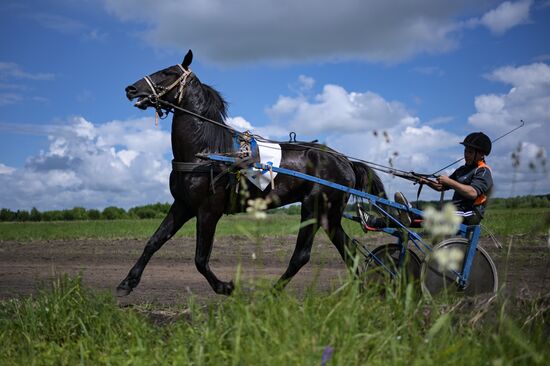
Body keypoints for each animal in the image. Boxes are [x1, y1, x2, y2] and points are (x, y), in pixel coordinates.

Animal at [118, 50, 386, 298]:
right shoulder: (183, 204)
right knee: (348, 250)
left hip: (314, 207)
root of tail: (345, 161)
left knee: (302, 255)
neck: (205, 152)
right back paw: (361, 292)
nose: (131, 89)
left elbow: (200, 259)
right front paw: (127, 282)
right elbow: (154, 241)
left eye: (168, 72)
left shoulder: (208, 210)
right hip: (328, 215)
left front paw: (225, 286)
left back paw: (274, 291)